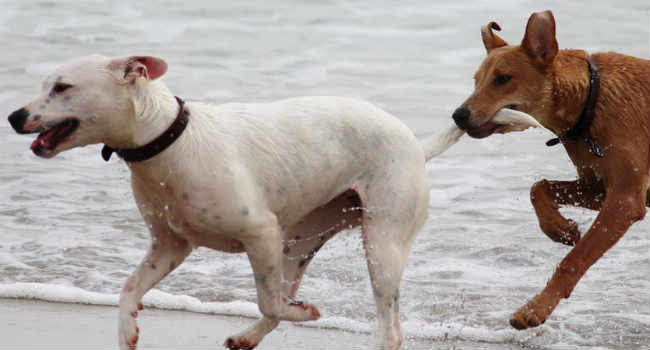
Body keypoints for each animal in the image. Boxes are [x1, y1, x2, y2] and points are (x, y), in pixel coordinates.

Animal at [8, 55, 536, 350]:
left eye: (62, 87)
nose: (14, 116)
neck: (169, 140)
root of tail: (413, 142)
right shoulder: (170, 246)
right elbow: (128, 290)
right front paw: (126, 332)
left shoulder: (259, 232)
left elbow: (269, 300)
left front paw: (307, 314)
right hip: (300, 241)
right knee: (280, 298)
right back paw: (245, 338)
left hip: (380, 244)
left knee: (387, 328)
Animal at [450, 9, 648, 330]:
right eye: (476, 80)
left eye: (502, 79)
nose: (458, 115)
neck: (590, 102)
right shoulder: (597, 189)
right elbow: (538, 187)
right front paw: (559, 228)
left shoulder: (626, 200)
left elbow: (574, 260)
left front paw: (535, 309)